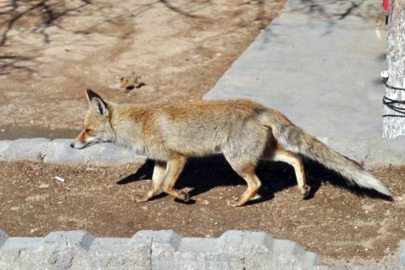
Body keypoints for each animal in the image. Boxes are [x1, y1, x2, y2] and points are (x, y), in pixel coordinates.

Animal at [70, 89, 392, 206]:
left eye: (88, 131)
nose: (72, 144)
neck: (140, 124)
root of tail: (260, 107)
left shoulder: (177, 158)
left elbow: (169, 186)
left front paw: (183, 197)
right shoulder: (161, 161)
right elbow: (155, 185)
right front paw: (146, 198)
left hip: (235, 159)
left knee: (258, 182)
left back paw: (241, 202)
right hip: (262, 153)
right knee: (296, 158)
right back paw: (302, 188)